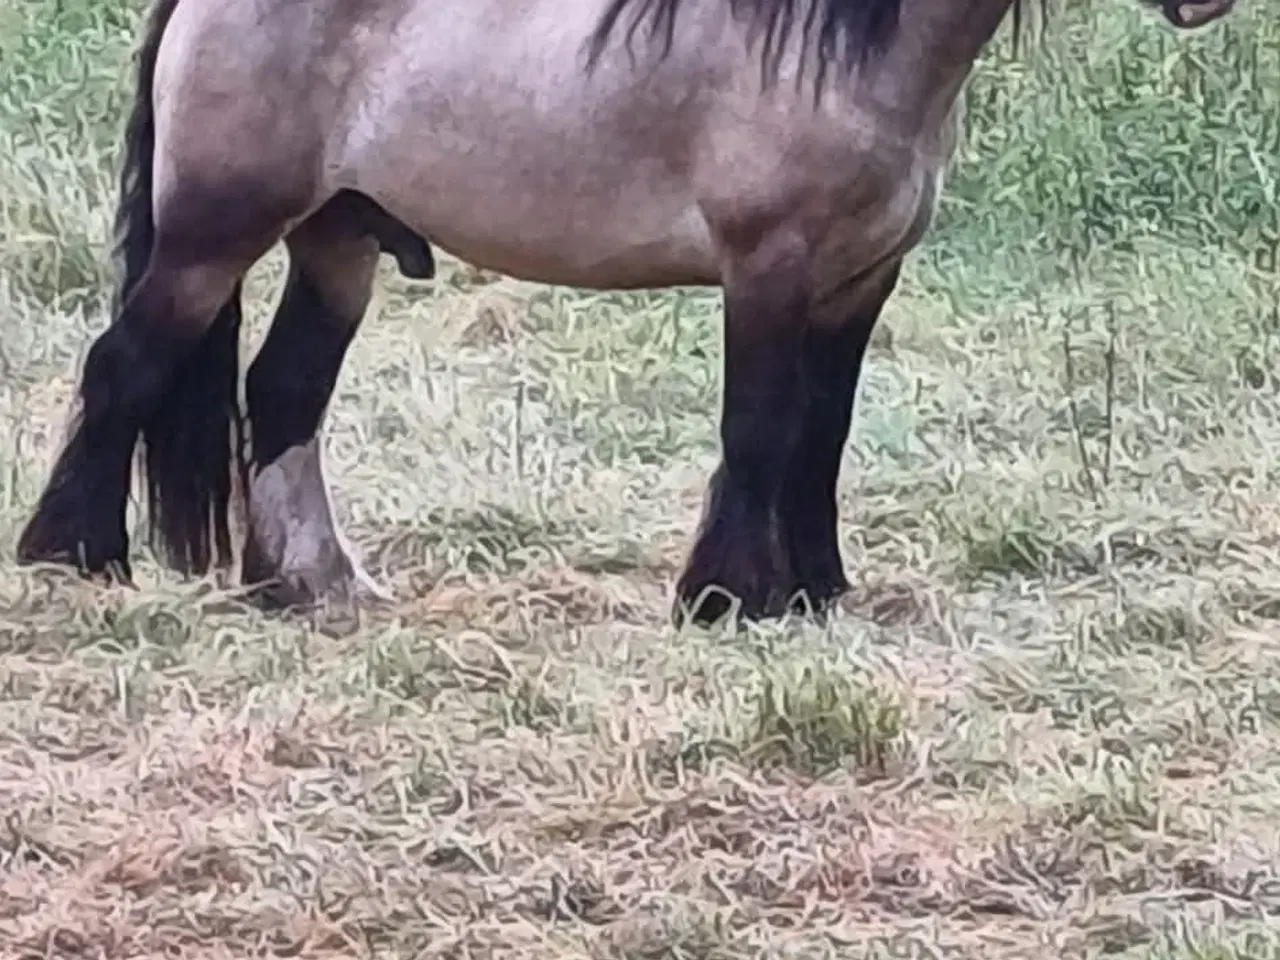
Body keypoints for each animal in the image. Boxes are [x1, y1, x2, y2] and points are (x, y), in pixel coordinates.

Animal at [15, 0, 1239, 624]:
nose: (1204, 0)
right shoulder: (768, 269)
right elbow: (759, 429)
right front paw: (726, 597)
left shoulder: (859, 282)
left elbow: (823, 436)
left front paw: (816, 588)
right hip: (214, 238)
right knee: (124, 366)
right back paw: (74, 557)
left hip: (337, 243)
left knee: (282, 395)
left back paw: (312, 584)